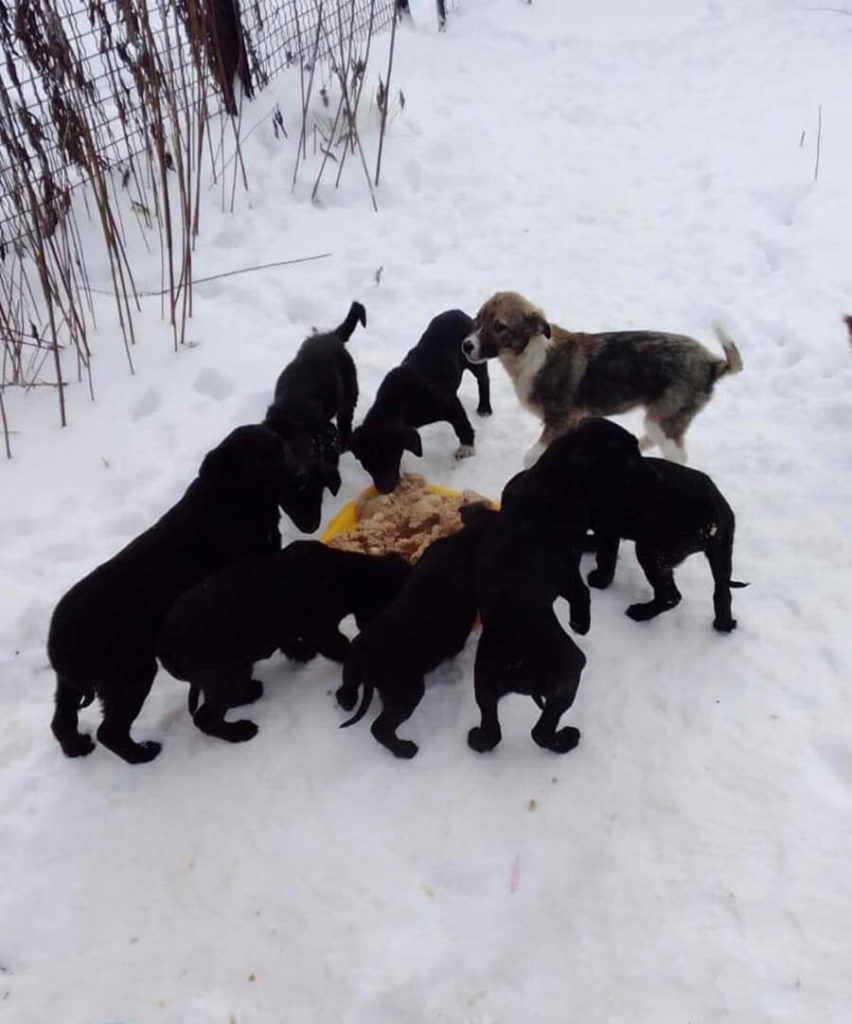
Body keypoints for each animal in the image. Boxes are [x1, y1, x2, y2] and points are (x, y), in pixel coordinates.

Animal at [49, 421, 296, 761]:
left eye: (279, 445)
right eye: (264, 456)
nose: (299, 468)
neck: (231, 499)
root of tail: (58, 643)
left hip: (72, 685)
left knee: (61, 721)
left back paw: (77, 747)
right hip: (131, 674)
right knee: (110, 731)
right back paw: (143, 753)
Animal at [160, 544, 415, 745]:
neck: (344, 574)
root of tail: (165, 650)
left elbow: (290, 642)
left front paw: (303, 654)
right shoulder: (320, 631)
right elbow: (344, 648)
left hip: (224, 675)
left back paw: (250, 692)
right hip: (228, 673)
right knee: (206, 717)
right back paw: (240, 731)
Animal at [331, 499, 491, 757]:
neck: (467, 540)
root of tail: (369, 663)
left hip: (352, 665)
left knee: (345, 690)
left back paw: (347, 702)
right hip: (407, 691)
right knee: (380, 728)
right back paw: (405, 750)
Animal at [348, 307, 491, 491]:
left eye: (388, 456)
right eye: (366, 464)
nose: (384, 490)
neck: (397, 401)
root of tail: (462, 313)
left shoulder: (448, 403)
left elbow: (462, 426)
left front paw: (466, 449)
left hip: (474, 358)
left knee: (483, 379)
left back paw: (484, 408)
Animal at [462, 292, 741, 468]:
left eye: (499, 326)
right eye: (478, 318)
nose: (466, 345)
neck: (530, 353)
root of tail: (712, 364)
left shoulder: (562, 419)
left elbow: (530, 458)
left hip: (665, 416)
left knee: (679, 455)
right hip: (661, 418)